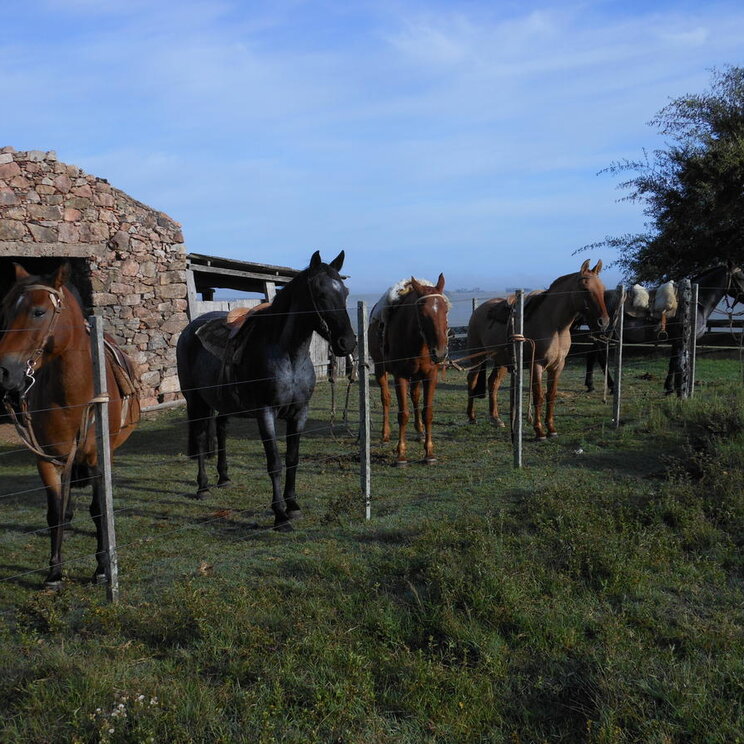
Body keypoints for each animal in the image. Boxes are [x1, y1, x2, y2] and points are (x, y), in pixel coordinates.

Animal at [0, 262, 140, 587]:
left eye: (38, 312)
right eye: (5, 310)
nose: (5, 371)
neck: (74, 397)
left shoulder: (97, 458)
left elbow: (99, 510)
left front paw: (102, 568)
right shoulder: (46, 459)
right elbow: (55, 514)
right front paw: (54, 572)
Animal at [176, 251, 356, 531]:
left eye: (345, 292)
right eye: (320, 293)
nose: (347, 342)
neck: (288, 355)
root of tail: (189, 330)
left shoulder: (299, 412)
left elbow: (292, 459)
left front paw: (293, 506)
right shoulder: (266, 413)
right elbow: (275, 463)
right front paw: (280, 515)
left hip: (221, 402)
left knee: (221, 429)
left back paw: (224, 478)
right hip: (195, 400)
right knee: (200, 436)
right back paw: (203, 487)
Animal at [368, 274, 449, 466]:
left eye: (445, 311)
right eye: (422, 313)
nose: (440, 352)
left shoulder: (430, 376)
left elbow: (427, 412)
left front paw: (429, 453)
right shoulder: (400, 376)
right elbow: (403, 414)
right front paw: (401, 455)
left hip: (416, 375)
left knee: (415, 396)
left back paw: (419, 432)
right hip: (380, 368)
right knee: (386, 398)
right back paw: (385, 434)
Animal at [466, 260, 609, 440]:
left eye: (603, 289)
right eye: (585, 288)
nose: (603, 322)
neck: (555, 326)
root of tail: (478, 310)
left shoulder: (557, 366)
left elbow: (551, 395)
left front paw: (552, 429)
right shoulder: (537, 365)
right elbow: (538, 396)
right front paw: (539, 431)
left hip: (502, 360)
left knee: (493, 383)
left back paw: (495, 418)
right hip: (477, 356)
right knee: (472, 380)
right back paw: (471, 417)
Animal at [582, 263, 744, 395]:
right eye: (740, 276)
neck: (694, 303)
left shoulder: (676, 341)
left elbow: (672, 363)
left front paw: (669, 388)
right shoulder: (680, 340)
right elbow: (677, 363)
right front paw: (677, 389)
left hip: (599, 335)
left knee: (592, 355)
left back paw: (590, 385)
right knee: (601, 358)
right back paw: (611, 386)